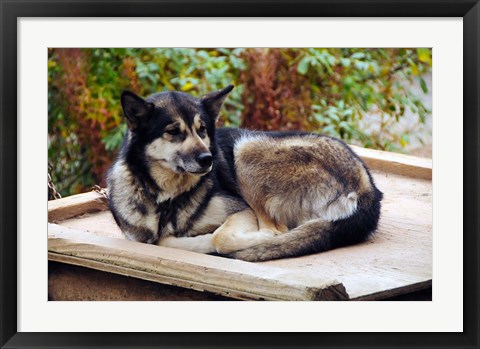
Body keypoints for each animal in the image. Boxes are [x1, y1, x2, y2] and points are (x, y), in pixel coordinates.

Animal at [107, 85, 384, 260]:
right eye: (173, 131)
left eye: (202, 129)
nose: (208, 159)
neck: (168, 198)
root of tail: (368, 188)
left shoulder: (241, 210)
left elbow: (217, 237)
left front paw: (204, 242)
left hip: (246, 148)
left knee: (276, 232)